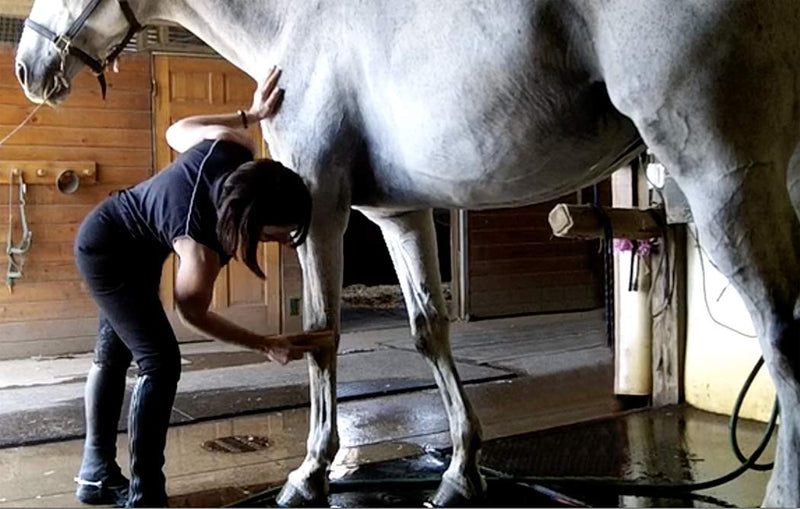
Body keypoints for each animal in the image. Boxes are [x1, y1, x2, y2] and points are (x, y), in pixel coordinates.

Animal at [12, 1, 800, 506]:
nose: (27, 66)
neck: (297, 23)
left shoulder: (319, 214)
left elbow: (322, 338)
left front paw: (310, 474)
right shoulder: (400, 213)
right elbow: (429, 331)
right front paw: (460, 472)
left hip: (724, 169)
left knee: (781, 334)